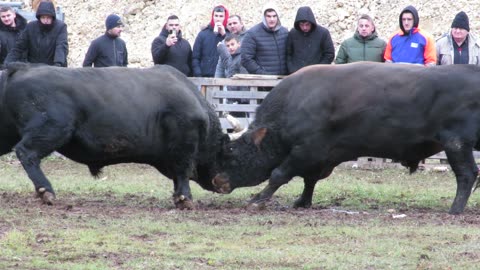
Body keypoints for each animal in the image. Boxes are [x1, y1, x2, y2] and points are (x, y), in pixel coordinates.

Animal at [0, 63, 228, 209]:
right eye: (230, 154)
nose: (222, 184)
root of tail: (21, 69)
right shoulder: (184, 146)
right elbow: (182, 172)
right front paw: (184, 199)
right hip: (52, 129)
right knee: (27, 152)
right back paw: (46, 191)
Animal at [215, 62, 480, 214]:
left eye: (232, 152)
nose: (218, 180)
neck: (295, 102)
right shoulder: (320, 156)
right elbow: (309, 180)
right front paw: (302, 201)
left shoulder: (306, 150)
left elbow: (279, 174)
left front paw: (258, 199)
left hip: (456, 143)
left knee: (467, 175)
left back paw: (455, 209)